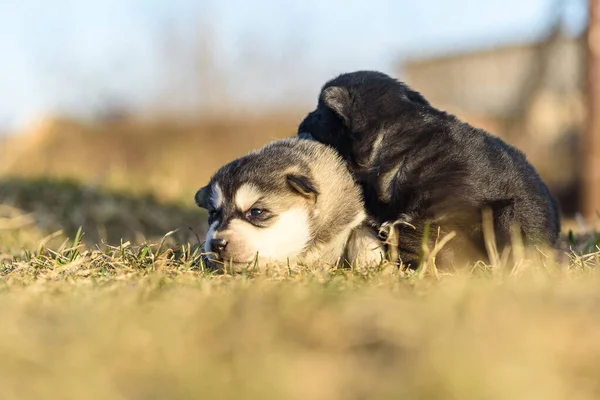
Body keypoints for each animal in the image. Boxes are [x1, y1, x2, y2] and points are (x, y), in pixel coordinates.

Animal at [195, 138, 386, 272]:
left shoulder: (353, 214)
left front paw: (369, 260)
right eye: (213, 213)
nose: (217, 243)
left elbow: (361, 232)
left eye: (256, 211)